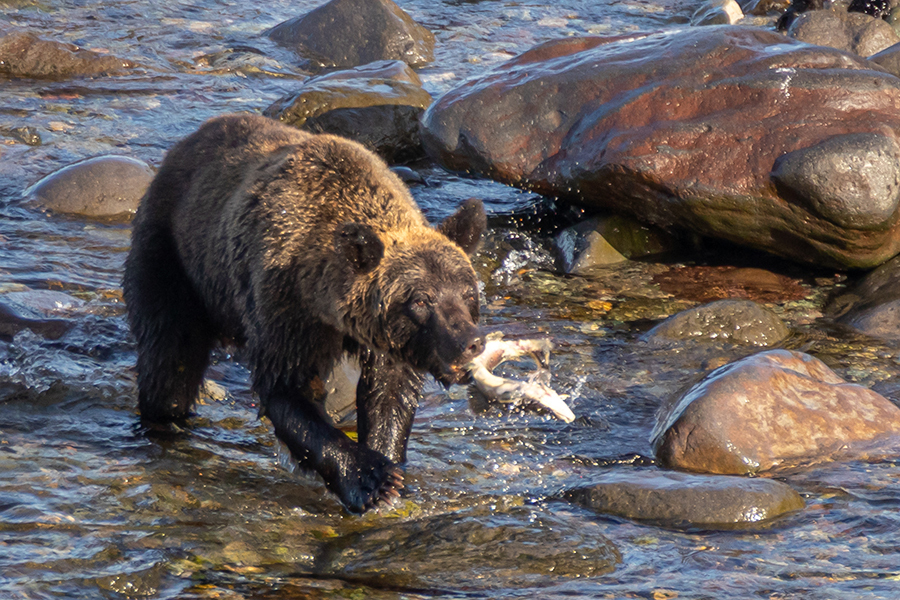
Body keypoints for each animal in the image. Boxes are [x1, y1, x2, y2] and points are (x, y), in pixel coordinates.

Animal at [123, 115, 486, 512]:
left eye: (468, 293)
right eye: (421, 300)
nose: (470, 341)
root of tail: (184, 144)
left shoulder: (380, 338)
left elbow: (389, 393)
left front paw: (390, 467)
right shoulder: (286, 307)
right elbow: (286, 389)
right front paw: (369, 478)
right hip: (173, 257)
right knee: (170, 356)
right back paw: (165, 422)